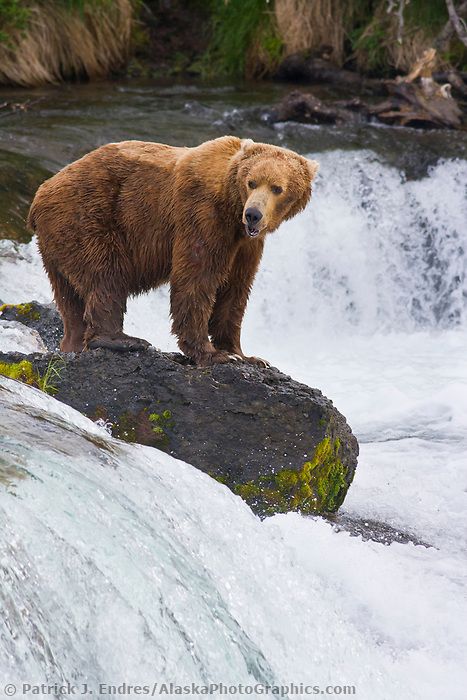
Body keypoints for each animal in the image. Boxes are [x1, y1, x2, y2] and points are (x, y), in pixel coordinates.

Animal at [29, 135, 320, 366]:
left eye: (277, 188)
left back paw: (74, 343)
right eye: (252, 182)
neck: (230, 207)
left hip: (56, 242)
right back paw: (122, 339)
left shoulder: (246, 245)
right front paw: (213, 353)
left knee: (69, 297)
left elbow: (235, 290)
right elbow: (197, 278)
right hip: (87, 215)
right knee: (105, 275)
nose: (254, 215)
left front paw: (245, 354)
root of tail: (39, 195)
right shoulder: (201, 215)